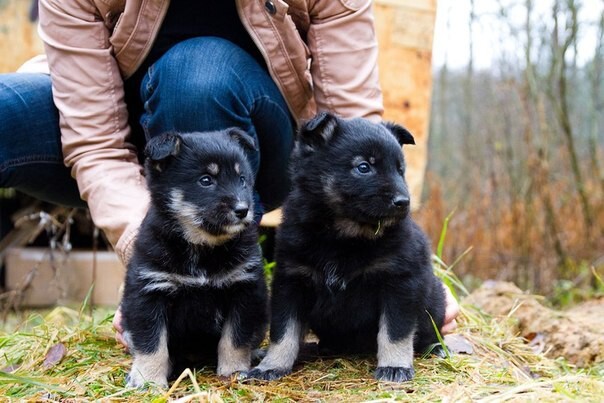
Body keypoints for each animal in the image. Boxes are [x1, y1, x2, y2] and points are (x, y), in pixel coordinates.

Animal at [121, 129, 268, 388]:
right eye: (206, 180)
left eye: (242, 179)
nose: (243, 210)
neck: (202, 247)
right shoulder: (149, 293)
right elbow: (152, 344)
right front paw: (148, 380)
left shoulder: (244, 290)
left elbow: (234, 339)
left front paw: (233, 371)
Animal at [245, 112, 448, 384]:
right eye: (364, 167)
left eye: (400, 170)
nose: (403, 202)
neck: (342, 236)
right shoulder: (291, 282)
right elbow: (284, 331)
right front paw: (272, 365)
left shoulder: (399, 283)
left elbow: (395, 331)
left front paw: (394, 366)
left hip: (434, 300)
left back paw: (435, 348)